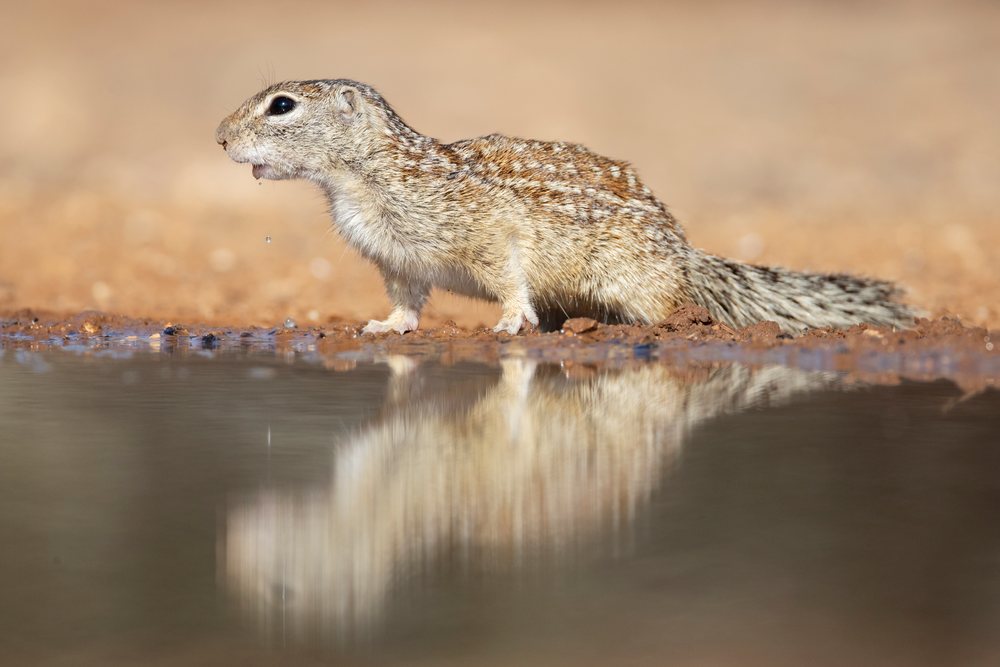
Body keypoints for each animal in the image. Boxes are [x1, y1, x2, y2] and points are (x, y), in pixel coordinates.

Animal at [216, 79, 916, 335]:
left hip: (634, 280)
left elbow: (507, 272)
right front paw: (390, 327)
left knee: (672, 308)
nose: (220, 137)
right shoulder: (399, 262)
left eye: (282, 105)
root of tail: (685, 254)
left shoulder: (483, 231)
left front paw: (509, 319)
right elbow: (407, 301)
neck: (361, 177)